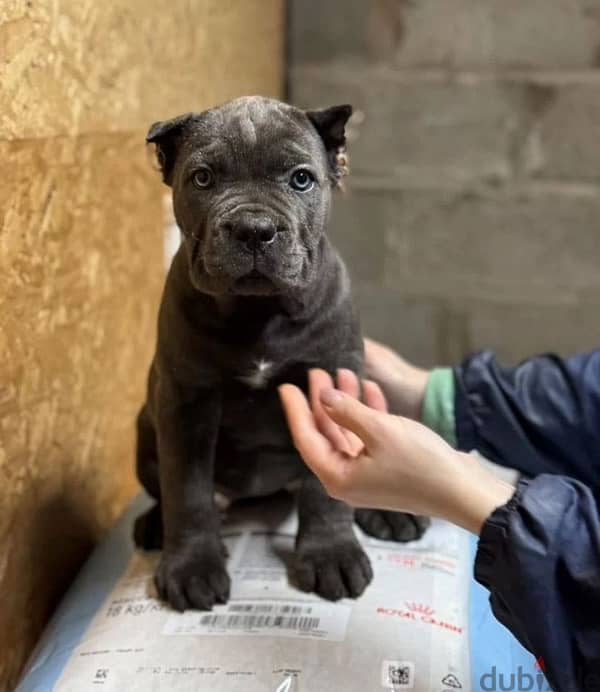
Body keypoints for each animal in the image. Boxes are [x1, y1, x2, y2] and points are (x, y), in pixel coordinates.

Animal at [134, 97, 428, 612]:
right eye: (203, 178)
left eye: (301, 179)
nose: (254, 230)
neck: (260, 312)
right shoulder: (184, 402)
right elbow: (186, 490)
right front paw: (192, 566)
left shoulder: (331, 382)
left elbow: (326, 488)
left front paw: (331, 553)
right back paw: (154, 523)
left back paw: (389, 511)